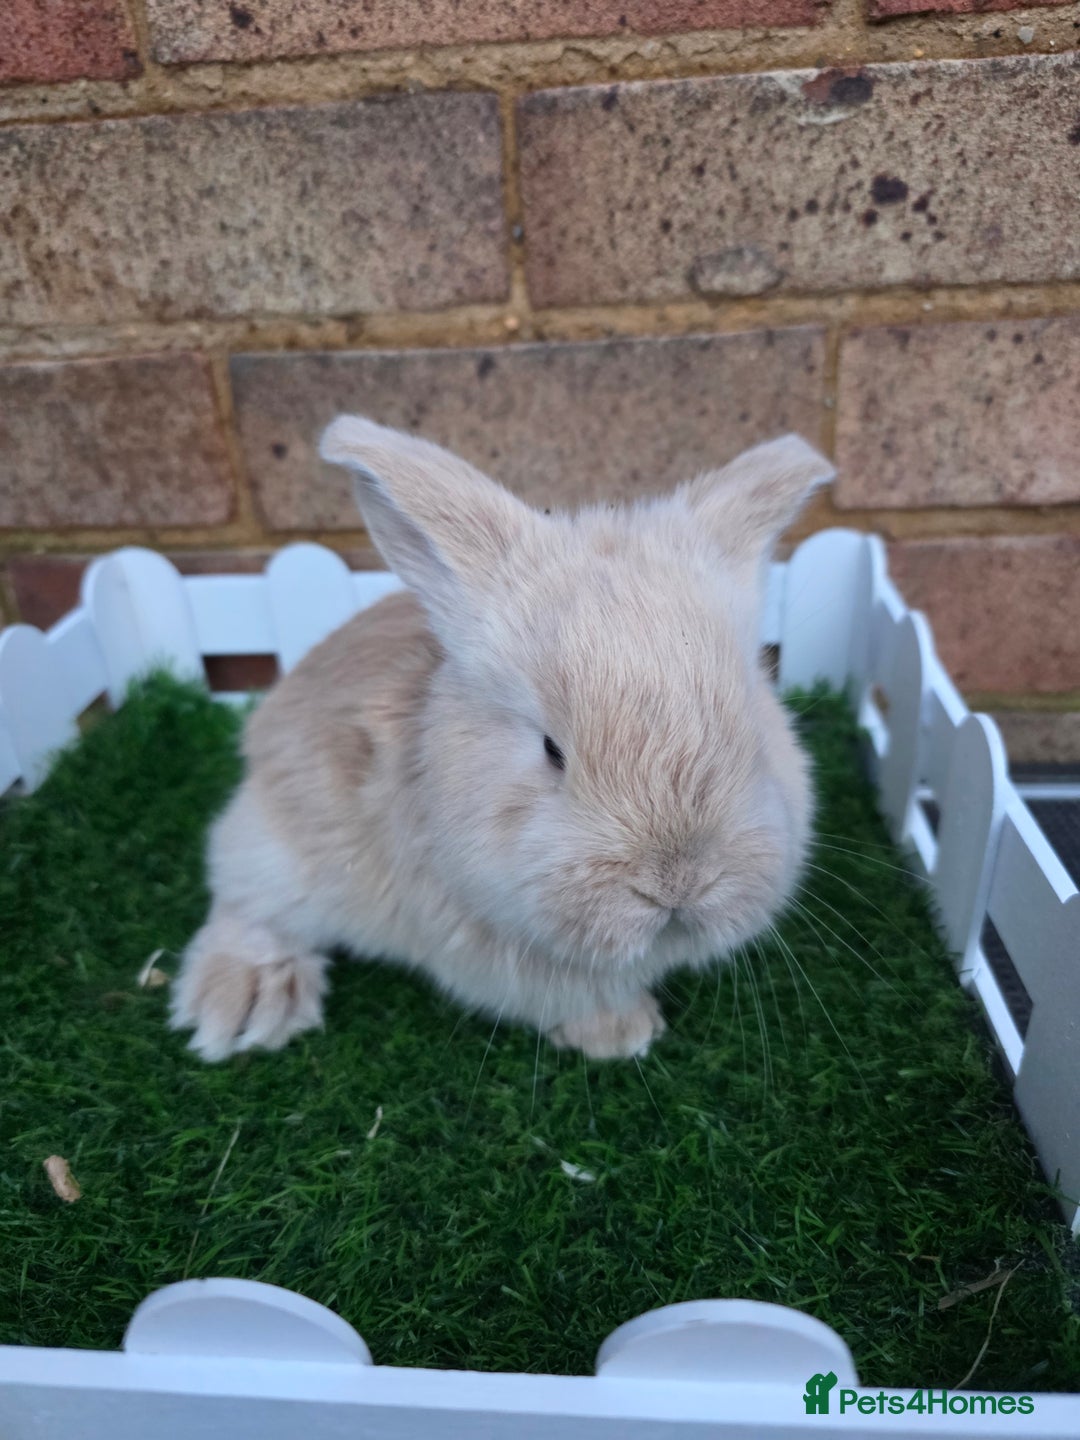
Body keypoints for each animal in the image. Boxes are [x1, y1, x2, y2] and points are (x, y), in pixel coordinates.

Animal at [170, 416, 834, 1062]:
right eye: (552, 751)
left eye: (754, 725)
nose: (678, 884)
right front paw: (620, 1035)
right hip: (279, 848)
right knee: (244, 903)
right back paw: (245, 1004)